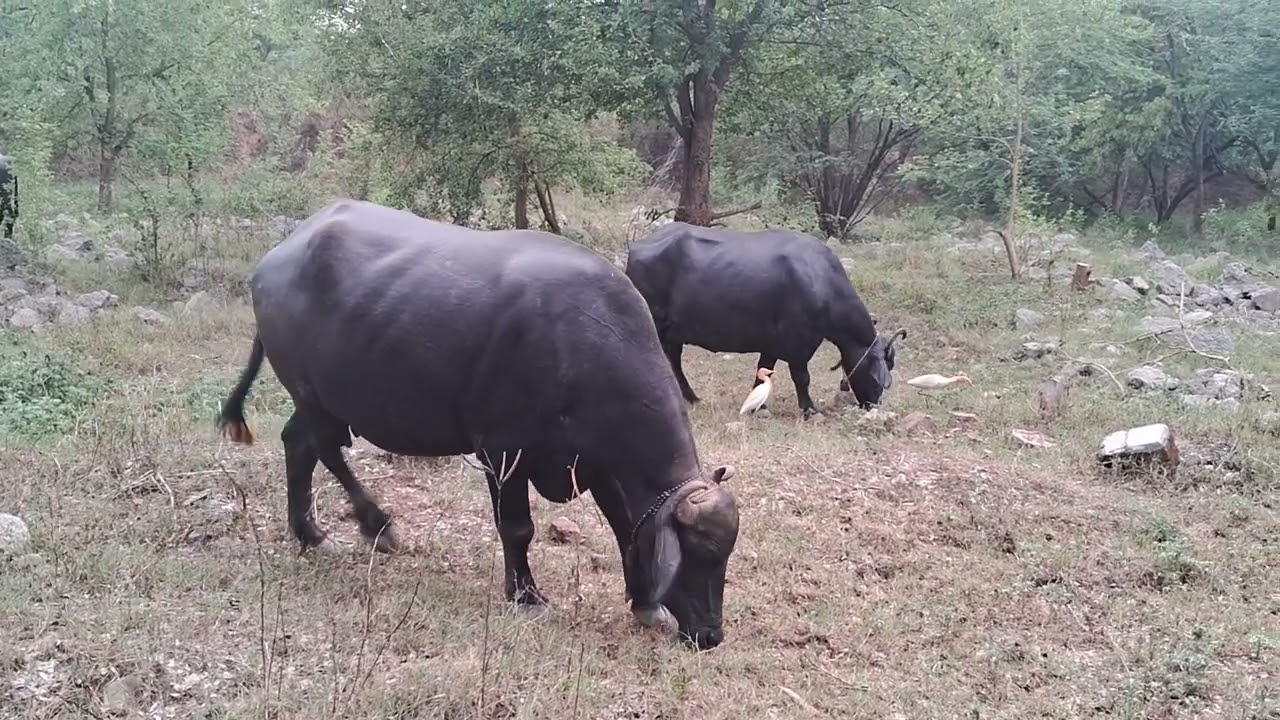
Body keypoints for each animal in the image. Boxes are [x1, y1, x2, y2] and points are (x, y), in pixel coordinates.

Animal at [218, 200, 740, 650]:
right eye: (698, 555)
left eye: (723, 557)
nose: (710, 635)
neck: (579, 346)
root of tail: (276, 261)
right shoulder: (502, 451)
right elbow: (518, 528)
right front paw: (526, 595)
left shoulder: (598, 463)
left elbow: (625, 526)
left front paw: (643, 603)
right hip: (312, 394)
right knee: (324, 449)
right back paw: (376, 525)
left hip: (319, 401)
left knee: (298, 444)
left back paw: (309, 533)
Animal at [625, 222, 905, 418]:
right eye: (878, 379)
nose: (872, 406)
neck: (822, 284)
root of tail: (636, 248)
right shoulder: (799, 348)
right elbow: (802, 378)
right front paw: (810, 410)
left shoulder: (771, 345)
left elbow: (762, 374)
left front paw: (759, 407)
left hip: (674, 332)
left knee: (673, 360)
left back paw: (691, 398)